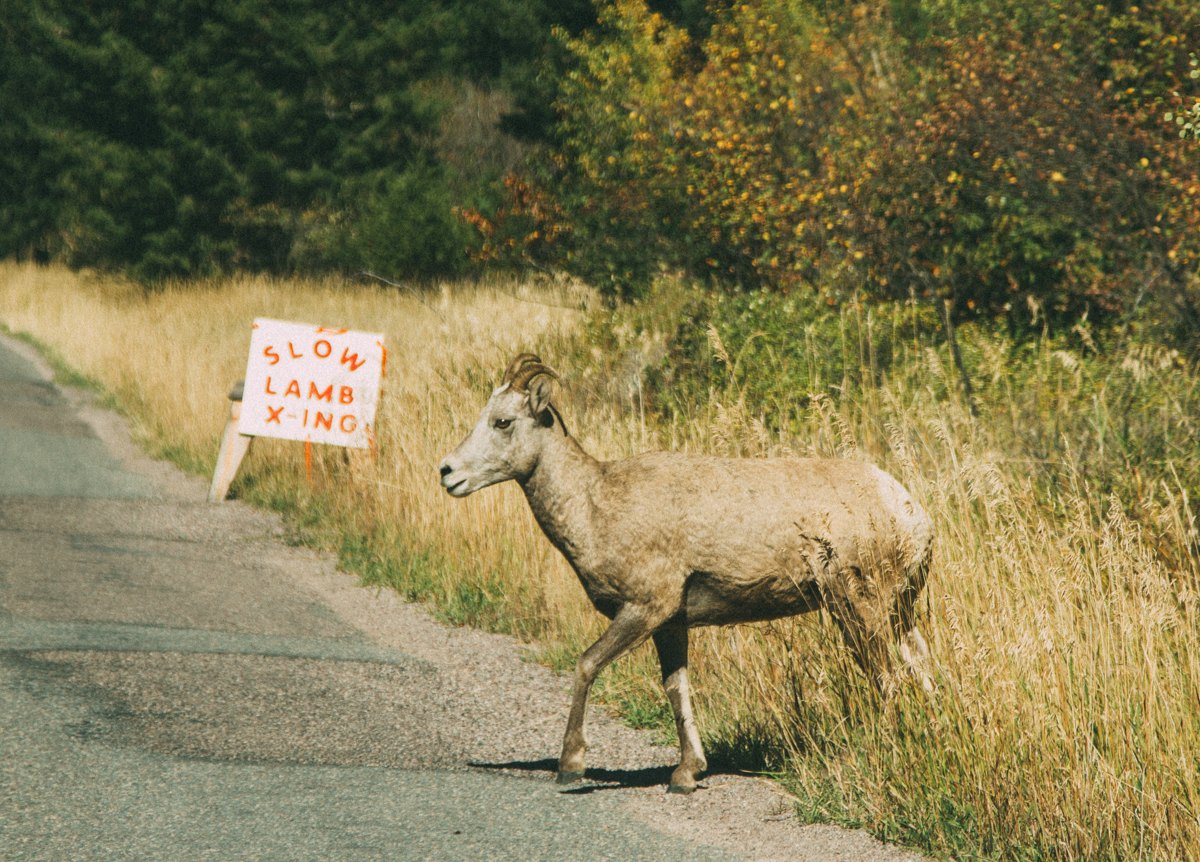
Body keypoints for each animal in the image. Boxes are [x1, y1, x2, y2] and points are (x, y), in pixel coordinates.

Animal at [438, 353, 934, 794]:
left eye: (503, 422)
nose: (447, 473)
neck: (594, 505)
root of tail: (912, 514)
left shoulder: (645, 608)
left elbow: (586, 664)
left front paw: (570, 766)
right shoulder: (670, 624)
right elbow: (676, 688)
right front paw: (686, 774)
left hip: (859, 608)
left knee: (889, 679)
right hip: (898, 613)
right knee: (921, 671)